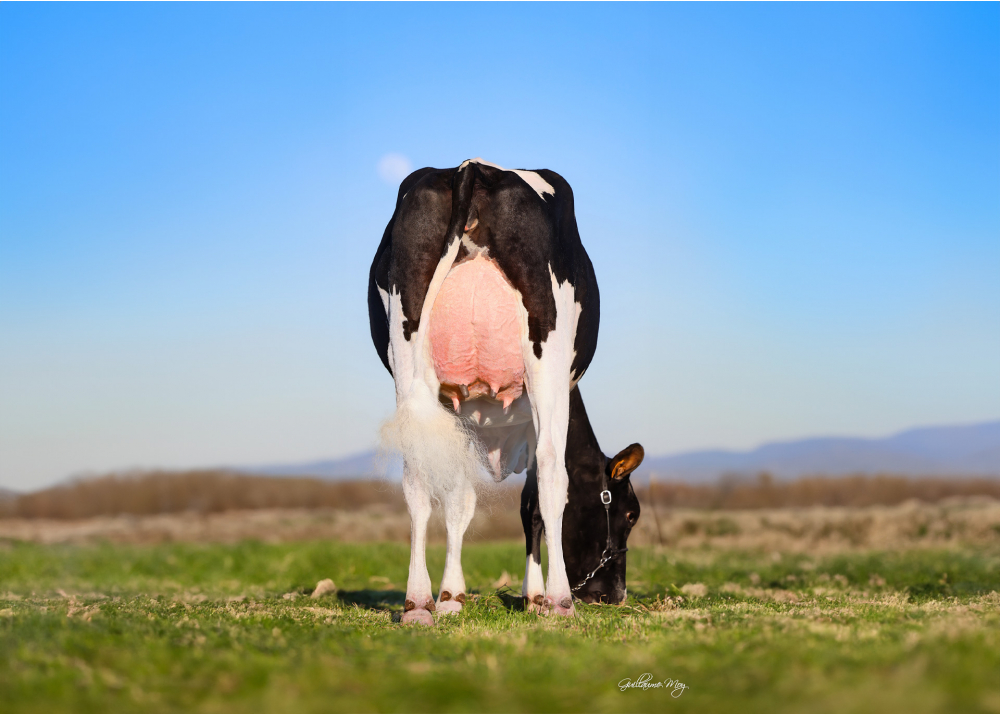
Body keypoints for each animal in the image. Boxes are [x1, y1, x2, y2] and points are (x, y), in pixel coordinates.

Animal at [366, 159, 640, 624]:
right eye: (629, 513)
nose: (615, 594)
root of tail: (472, 167)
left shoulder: (455, 415)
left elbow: (460, 499)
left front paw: (451, 596)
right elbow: (533, 504)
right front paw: (535, 596)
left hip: (407, 347)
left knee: (415, 474)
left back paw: (417, 602)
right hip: (546, 353)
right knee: (552, 474)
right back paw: (561, 601)